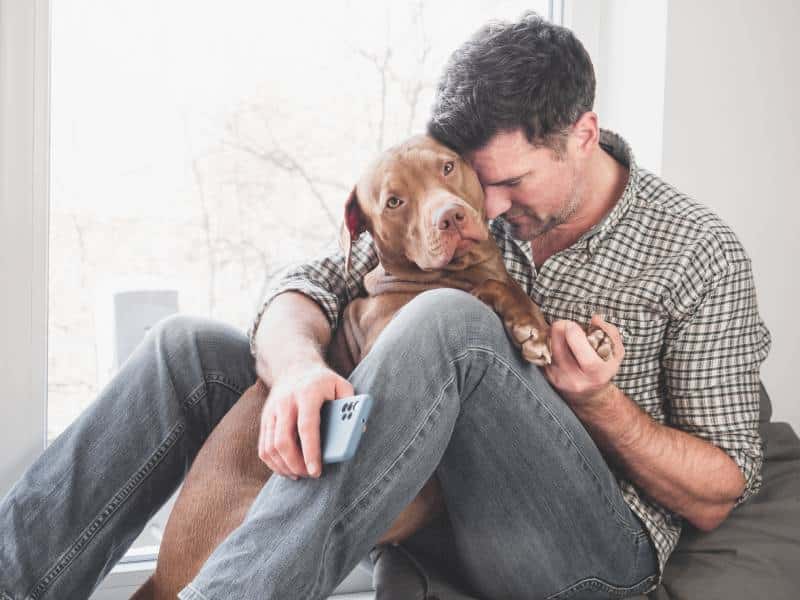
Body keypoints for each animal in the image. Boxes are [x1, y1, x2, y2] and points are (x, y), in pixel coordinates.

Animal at [133, 136, 612, 600]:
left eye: (447, 166)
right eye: (394, 202)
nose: (451, 217)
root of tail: (159, 575)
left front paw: (573, 337)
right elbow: (483, 291)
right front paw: (529, 324)